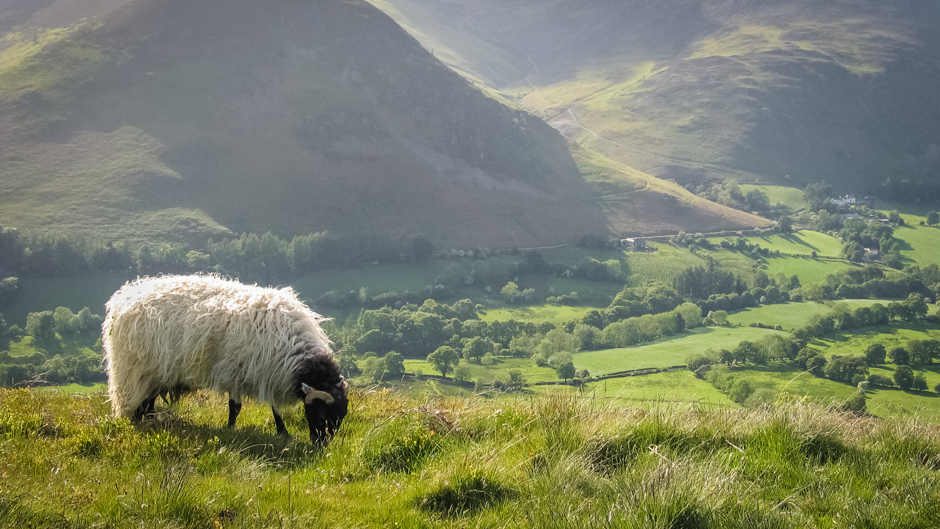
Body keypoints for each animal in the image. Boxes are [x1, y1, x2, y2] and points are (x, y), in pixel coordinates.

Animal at [101, 274, 348, 444]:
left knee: (148, 402)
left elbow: (272, 407)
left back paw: (150, 423)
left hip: (154, 373)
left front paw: (281, 432)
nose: (321, 444)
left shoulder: (266, 371)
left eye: (341, 416)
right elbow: (236, 407)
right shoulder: (239, 370)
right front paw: (231, 430)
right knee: (137, 402)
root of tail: (124, 297)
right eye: (322, 413)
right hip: (136, 370)